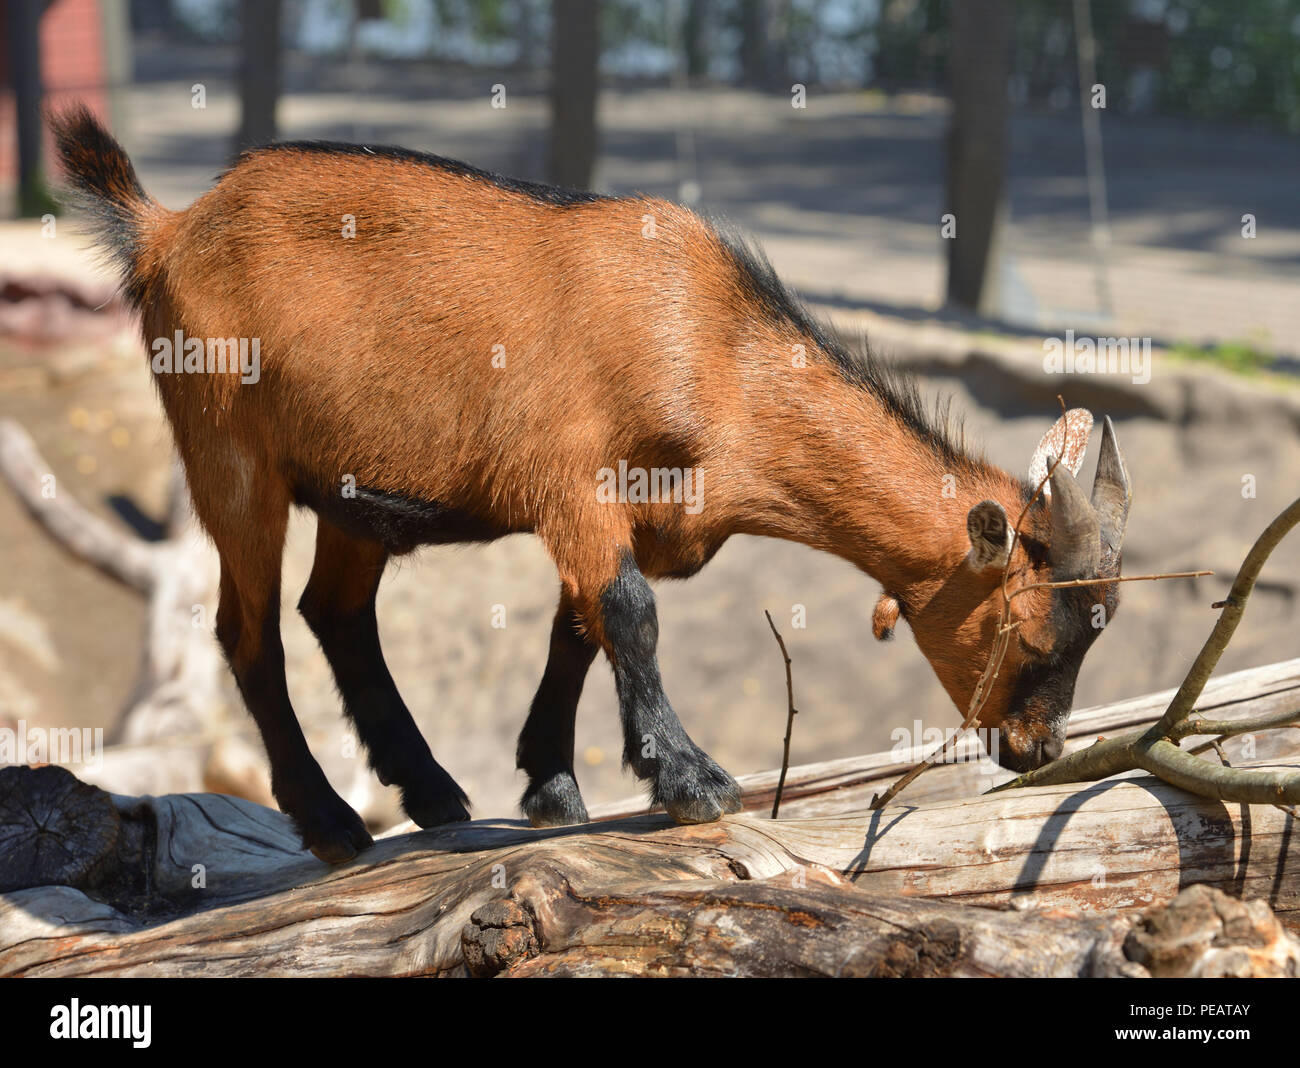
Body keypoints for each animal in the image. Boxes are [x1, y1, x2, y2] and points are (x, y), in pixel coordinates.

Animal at [51, 106, 1131, 862]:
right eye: (1036, 634)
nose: (1037, 750)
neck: (714, 349)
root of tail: (167, 228)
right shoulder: (569, 482)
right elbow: (629, 613)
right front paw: (690, 780)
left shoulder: (642, 515)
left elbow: (579, 626)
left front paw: (550, 786)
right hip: (229, 453)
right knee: (249, 630)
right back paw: (330, 821)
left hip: (353, 490)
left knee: (337, 612)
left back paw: (431, 790)